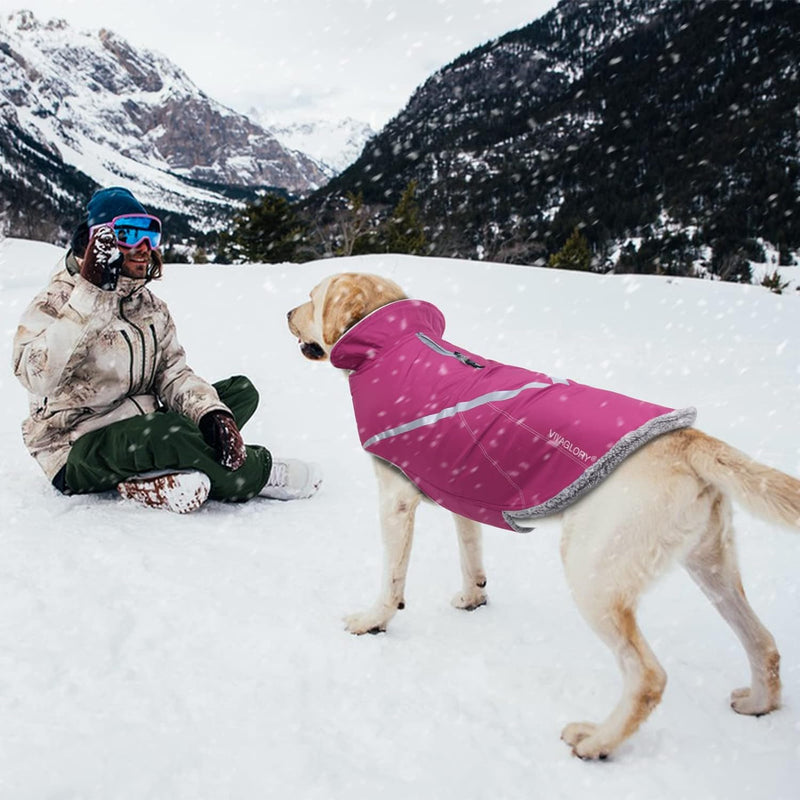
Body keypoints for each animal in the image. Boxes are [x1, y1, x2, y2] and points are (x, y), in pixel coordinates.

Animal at [290, 272, 800, 760]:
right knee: (764, 643)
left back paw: (598, 741)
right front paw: (473, 597)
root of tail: (689, 439)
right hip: (711, 566)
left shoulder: (395, 499)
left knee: (649, 677)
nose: (287, 313)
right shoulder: (461, 492)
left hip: (593, 573)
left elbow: (392, 579)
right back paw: (758, 702)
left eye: (313, 298)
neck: (396, 344)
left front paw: (373, 620)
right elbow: (470, 553)